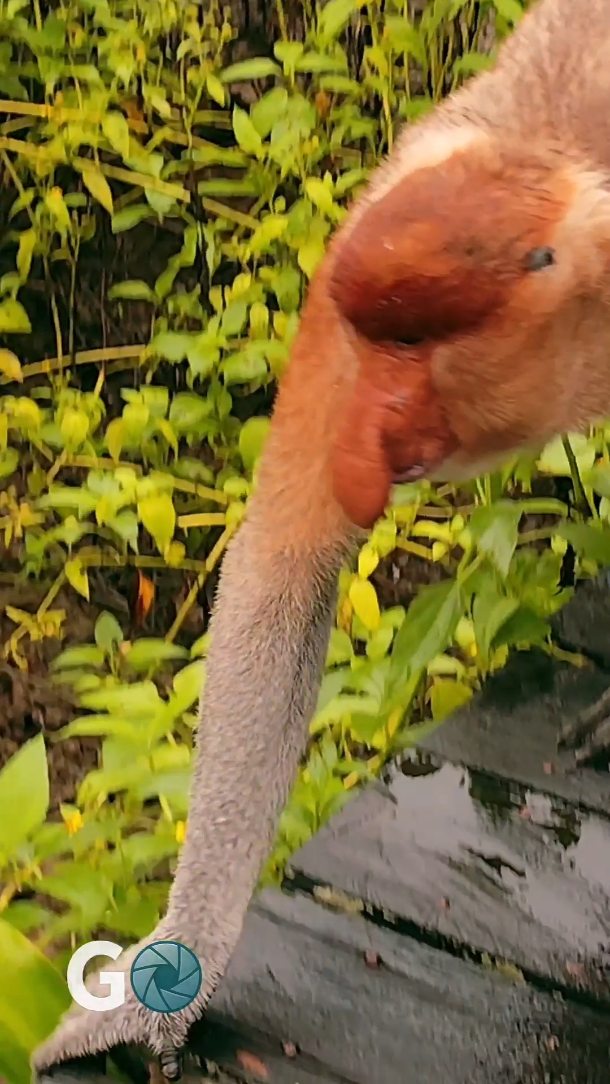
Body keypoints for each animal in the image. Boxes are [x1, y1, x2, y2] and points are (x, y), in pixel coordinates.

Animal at [33, 0, 610, 1077]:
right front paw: (153, 996)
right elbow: (281, 568)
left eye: (420, 346)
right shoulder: (349, 271)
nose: (364, 441)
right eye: (382, 342)